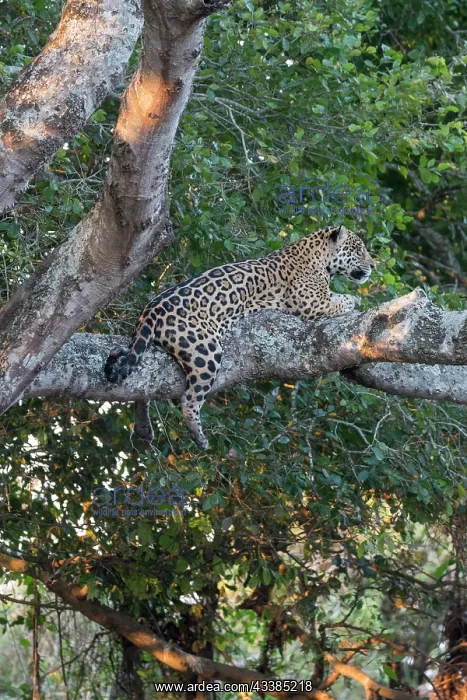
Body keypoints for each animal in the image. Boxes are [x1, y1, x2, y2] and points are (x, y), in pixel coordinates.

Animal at [104, 225, 376, 449]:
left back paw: (143, 428)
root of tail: (150, 311)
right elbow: (341, 300)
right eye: (359, 249)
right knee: (189, 398)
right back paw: (198, 435)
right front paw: (354, 299)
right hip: (205, 350)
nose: (374, 265)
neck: (319, 257)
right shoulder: (312, 304)